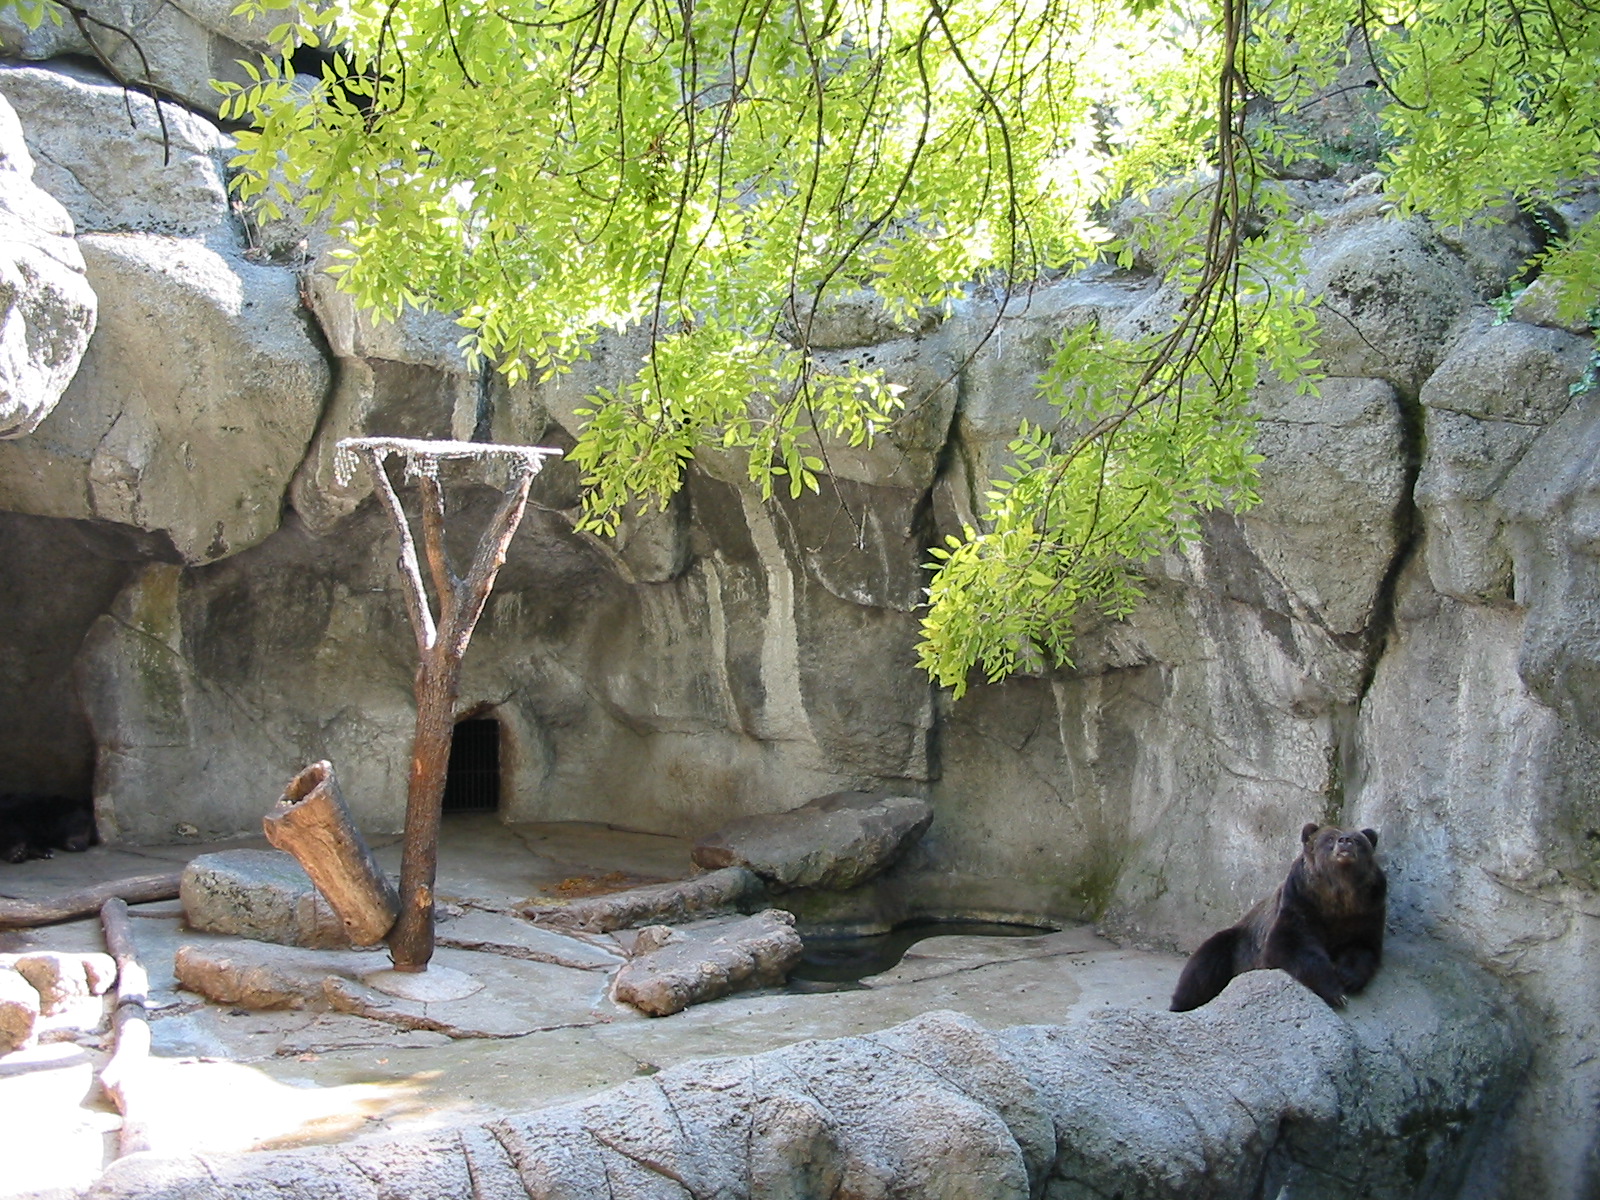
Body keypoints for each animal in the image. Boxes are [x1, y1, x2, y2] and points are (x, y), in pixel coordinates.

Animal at [1169, 822, 1386, 1012]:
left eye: (1358, 840)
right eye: (1329, 837)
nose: (1345, 841)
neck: (1337, 896)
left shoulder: (1367, 909)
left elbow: (1363, 946)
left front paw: (1347, 977)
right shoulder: (1299, 901)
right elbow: (1291, 945)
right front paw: (1334, 991)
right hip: (1238, 944)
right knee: (1203, 967)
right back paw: (1181, 1005)